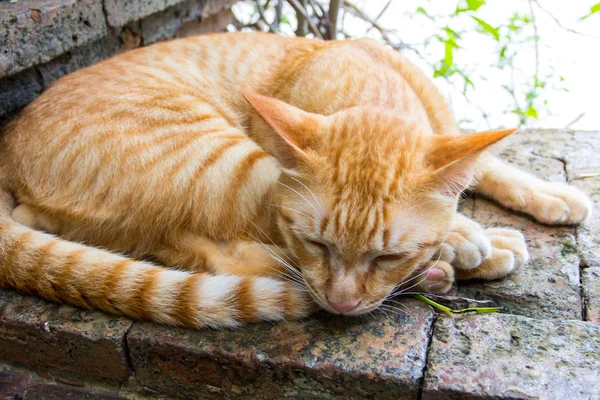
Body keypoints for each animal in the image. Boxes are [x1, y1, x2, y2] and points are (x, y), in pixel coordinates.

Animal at [0, 32, 592, 326]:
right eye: (317, 242)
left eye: (386, 254)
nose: (342, 305)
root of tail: (8, 138)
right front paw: (467, 237)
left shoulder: (449, 135)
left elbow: (486, 162)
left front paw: (552, 193)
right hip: (234, 163)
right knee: (228, 252)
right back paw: (458, 260)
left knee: (177, 245)